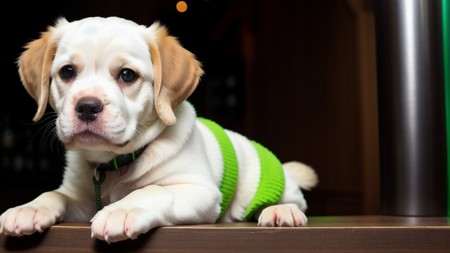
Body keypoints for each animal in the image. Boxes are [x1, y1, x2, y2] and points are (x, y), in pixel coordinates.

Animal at [0, 16, 318, 243]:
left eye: (127, 75)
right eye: (67, 72)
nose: (87, 106)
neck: (114, 166)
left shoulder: (199, 191)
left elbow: (152, 190)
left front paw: (123, 209)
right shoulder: (80, 200)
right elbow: (56, 195)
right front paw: (30, 207)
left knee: (294, 202)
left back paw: (279, 211)